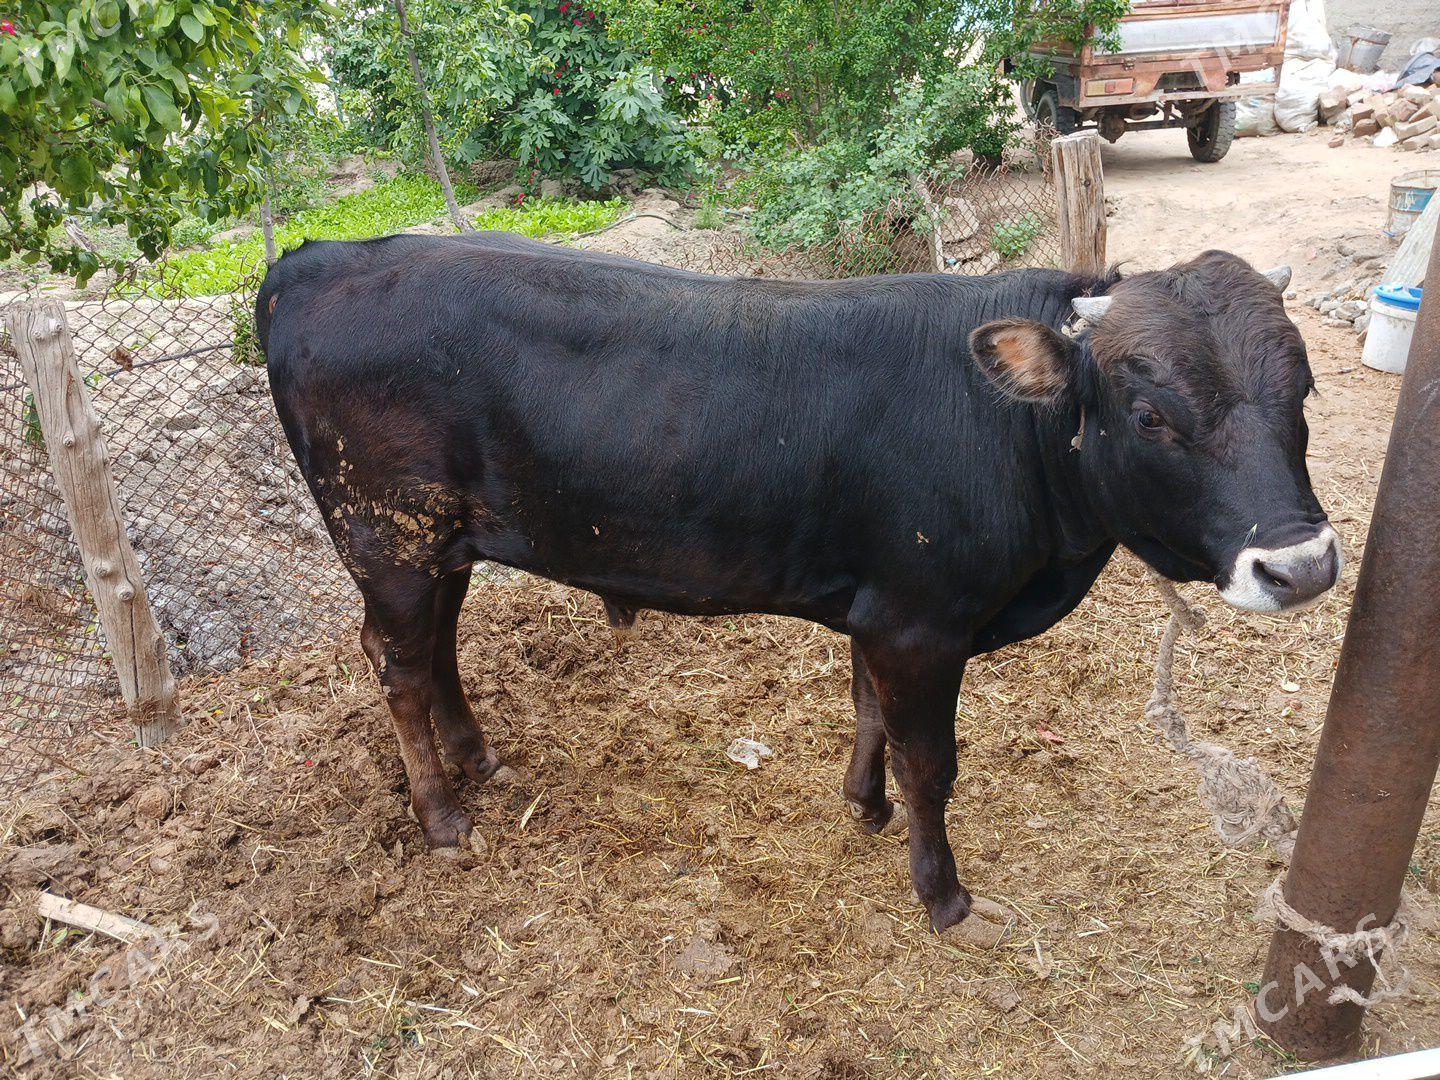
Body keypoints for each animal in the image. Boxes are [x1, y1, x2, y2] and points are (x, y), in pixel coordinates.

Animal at [259, 235, 1340, 936]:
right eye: (1151, 414)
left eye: (1305, 389)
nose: (1303, 565)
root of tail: (319, 255)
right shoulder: (921, 621)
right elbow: (931, 762)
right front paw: (942, 895)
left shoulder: (880, 607)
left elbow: (867, 715)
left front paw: (863, 806)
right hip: (388, 536)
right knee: (396, 663)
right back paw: (442, 816)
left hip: (441, 544)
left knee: (435, 647)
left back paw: (478, 758)